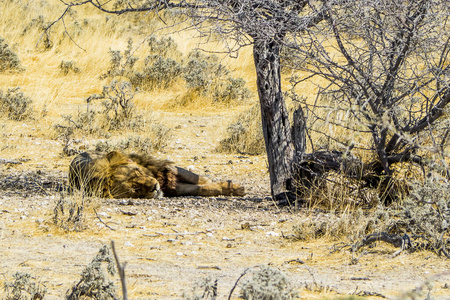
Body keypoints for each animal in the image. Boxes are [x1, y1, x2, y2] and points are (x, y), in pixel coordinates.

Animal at [69, 151, 246, 198]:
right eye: (134, 189)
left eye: (137, 171)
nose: (155, 187)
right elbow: (201, 189)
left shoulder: (166, 169)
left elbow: (199, 179)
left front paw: (233, 187)